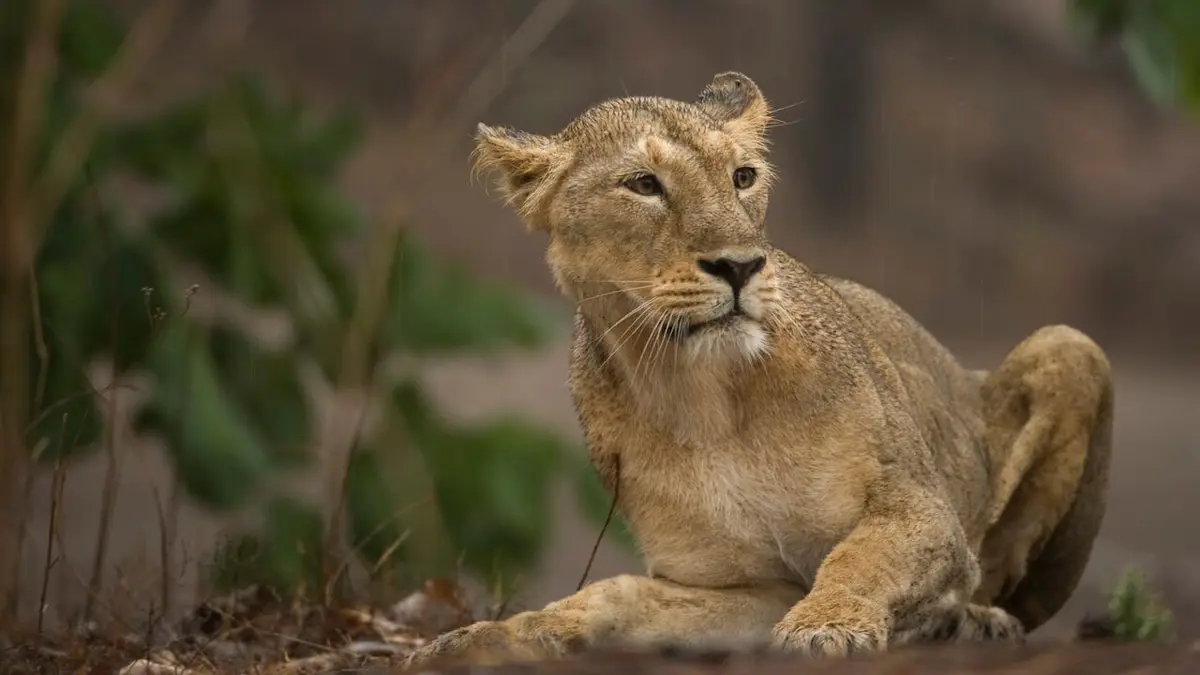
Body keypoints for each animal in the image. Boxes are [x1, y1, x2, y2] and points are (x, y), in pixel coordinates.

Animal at [402, 72, 1113, 669]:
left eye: (742, 177)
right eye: (643, 185)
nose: (741, 266)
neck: (701, 395)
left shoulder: (919, 508)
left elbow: (862, 558)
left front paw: (827, 627)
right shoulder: (751, 584)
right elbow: (617, 595)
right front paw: (482, 637)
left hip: (1069, 344)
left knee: (1000, 587)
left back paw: (974, 623)